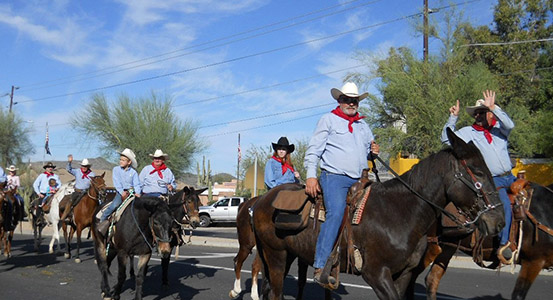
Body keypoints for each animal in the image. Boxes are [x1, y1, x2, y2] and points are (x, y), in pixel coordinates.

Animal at [252, 129, 506, 300]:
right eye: (479, 173)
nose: (499, 221)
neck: (400, 212)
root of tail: (261, 201)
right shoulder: (376, 273)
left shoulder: (403, 274)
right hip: (275, 255)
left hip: (287, 255)